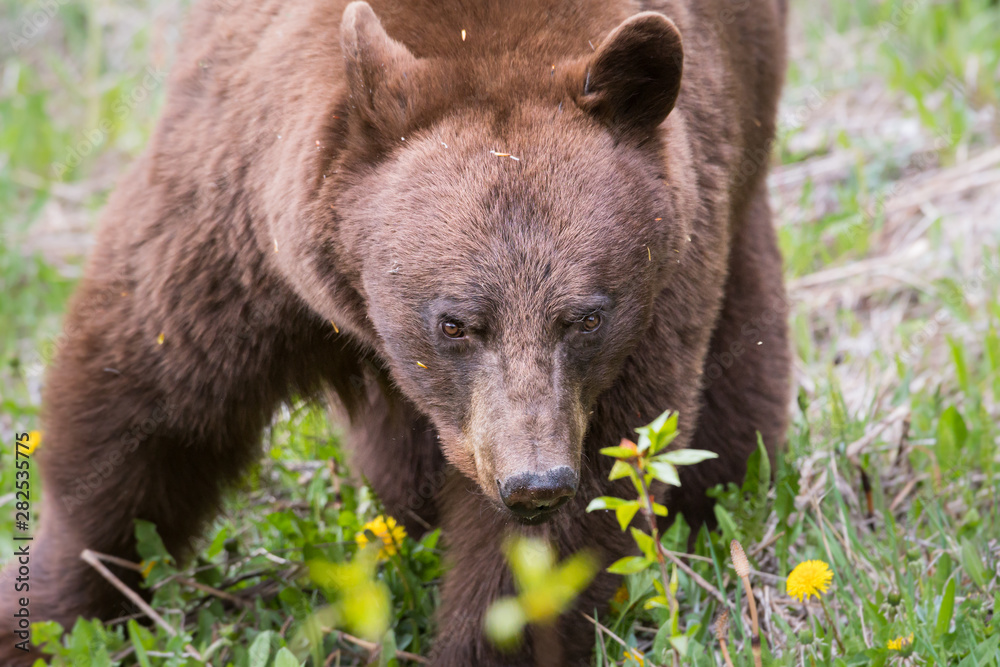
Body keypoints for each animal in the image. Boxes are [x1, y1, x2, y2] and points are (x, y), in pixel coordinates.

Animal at [0, 0, 790, 664]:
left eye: (587, 316)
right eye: (455, 322)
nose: (534, 480)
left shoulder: (651, 310)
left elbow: (578, 515)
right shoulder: (240, 223)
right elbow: (146, 406)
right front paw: (50, 614)